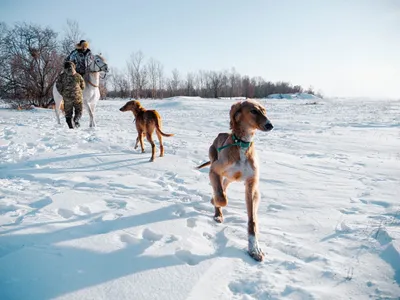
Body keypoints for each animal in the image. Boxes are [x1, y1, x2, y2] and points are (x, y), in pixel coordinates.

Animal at [196, 99, 272, 262]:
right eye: (253, 111)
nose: (270, 125)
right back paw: (217, 213)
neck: (242, 144)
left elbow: (252, 220)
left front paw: (254, 249)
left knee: (224, 185)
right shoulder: (214, 171)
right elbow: (221, 199)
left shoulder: (251, 184)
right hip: (216, 165)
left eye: (264, 110)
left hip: (231, 178)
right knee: (220, 190)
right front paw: (216, 204)